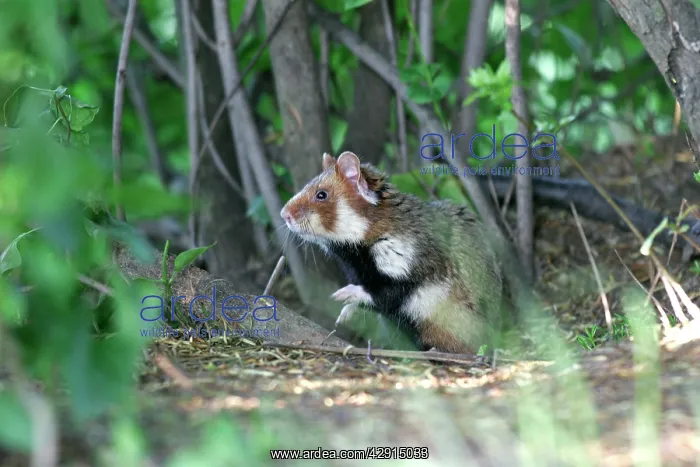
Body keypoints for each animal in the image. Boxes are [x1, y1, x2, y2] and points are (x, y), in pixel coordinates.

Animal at [280, 151, 513, 354]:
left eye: (321, 195)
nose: (284, 214)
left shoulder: (408, 275)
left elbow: (379, 294)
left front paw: (341, 296)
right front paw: (344, 314)